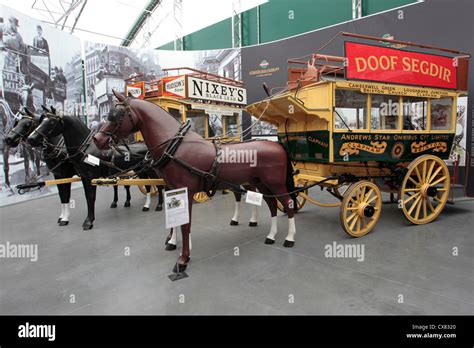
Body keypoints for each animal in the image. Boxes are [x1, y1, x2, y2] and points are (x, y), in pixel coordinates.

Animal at [27, 109, 164, 228]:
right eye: (41, 121)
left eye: (51, 122)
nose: (31, 139)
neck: (86, 149)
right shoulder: (79, 176)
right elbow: (69, 195)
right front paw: (67, 218)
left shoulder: (87, 177)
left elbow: (89, 197)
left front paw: (88, 221)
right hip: (140, 170)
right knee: (148, 185)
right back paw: (146, 206)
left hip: (151, 170)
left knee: (159, 184)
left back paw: (159, 205)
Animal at [93, 90, 296, 274]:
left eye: (117, 115)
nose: (98, 139)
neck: (175, 148)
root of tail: (276, 144)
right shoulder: (171, 188)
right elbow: (176, 219)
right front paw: (173, 242)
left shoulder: (186, 190)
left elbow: (186, 223)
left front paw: (183, 259)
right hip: (259, 183)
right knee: (272, 204)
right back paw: (271, 235)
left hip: (275, 183)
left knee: (288, 204)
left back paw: (289, 238)